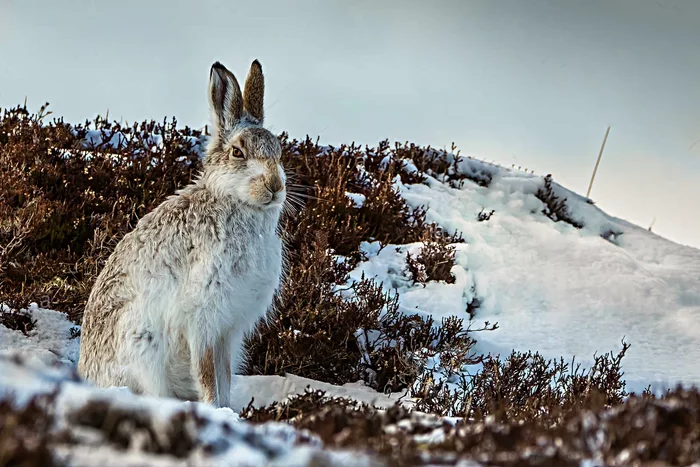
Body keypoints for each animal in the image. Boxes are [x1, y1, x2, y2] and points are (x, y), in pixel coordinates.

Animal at [77, 60, 286, 407]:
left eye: (279, 151)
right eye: (237, 153)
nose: (276, 185)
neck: (234, 203)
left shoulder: (228, 330)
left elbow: (224, 373)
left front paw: (228, 410)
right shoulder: (203, 317)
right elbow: (206, 372)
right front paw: (214, 408)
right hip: (142, 344)